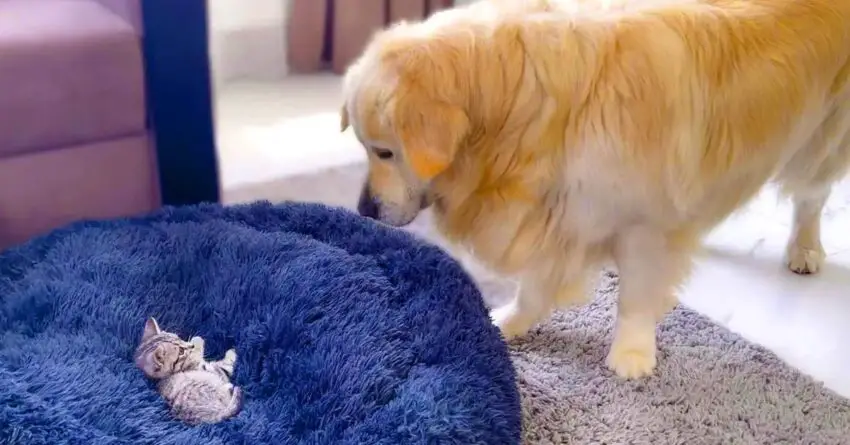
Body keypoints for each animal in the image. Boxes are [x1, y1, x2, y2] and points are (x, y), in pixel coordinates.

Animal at [336, 0, 848, 380]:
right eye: (365, 147)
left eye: (385, 152)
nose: (364, 210)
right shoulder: (558, 212)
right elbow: (535, 287)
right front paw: (509, 322)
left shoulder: (643, 221)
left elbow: (635, 294)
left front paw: (632, 354)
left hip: (822, 139)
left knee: (811, 197)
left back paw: (805, 248)